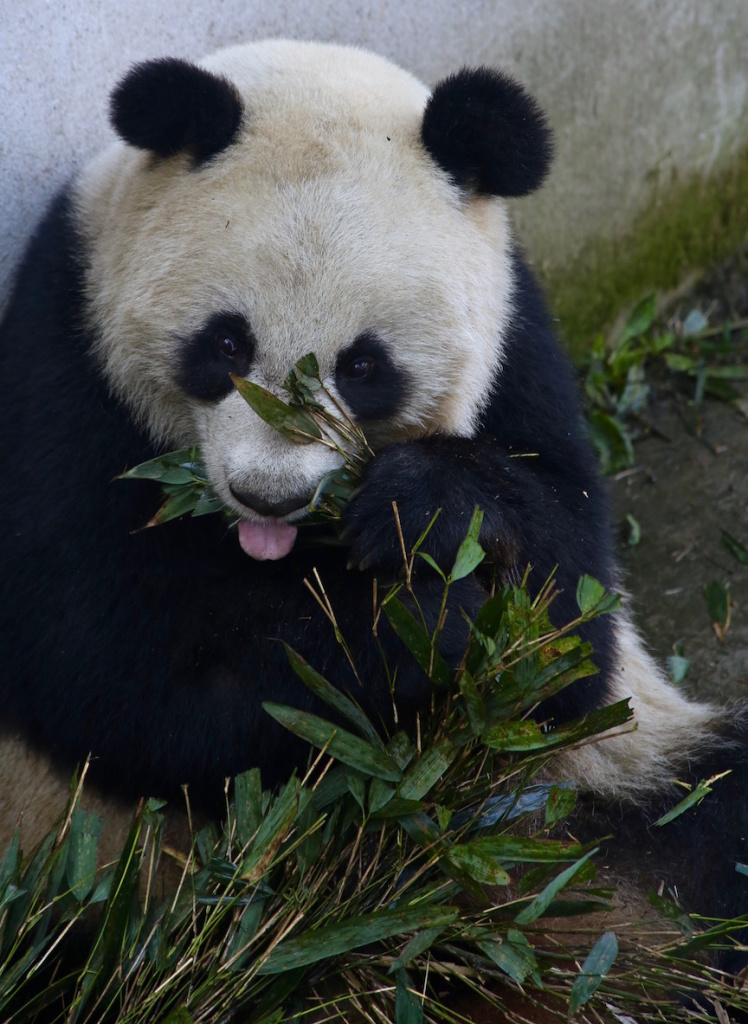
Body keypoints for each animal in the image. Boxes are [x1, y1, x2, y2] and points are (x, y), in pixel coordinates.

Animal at [1, 37, 745, 1007]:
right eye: (226, 343)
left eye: (363, 367)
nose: (268, 496)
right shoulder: (65, 349)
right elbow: (113, 672)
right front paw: (424, 625)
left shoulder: (517, 340)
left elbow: (574, 616)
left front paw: (424, 515)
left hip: (606, 774)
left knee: (707, 813)